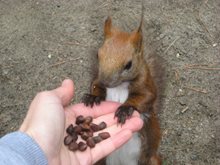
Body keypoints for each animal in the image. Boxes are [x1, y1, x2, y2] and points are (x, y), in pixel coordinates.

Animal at [82, 8, 162, 165]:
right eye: (97, 55)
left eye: (129, 65)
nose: (106, 82)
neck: (119, 86)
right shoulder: (97, 80)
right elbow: (95, 86)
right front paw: (93, 97)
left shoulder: (146, 84)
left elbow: (147, 97)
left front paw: (125, 109)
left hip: (150, 157)